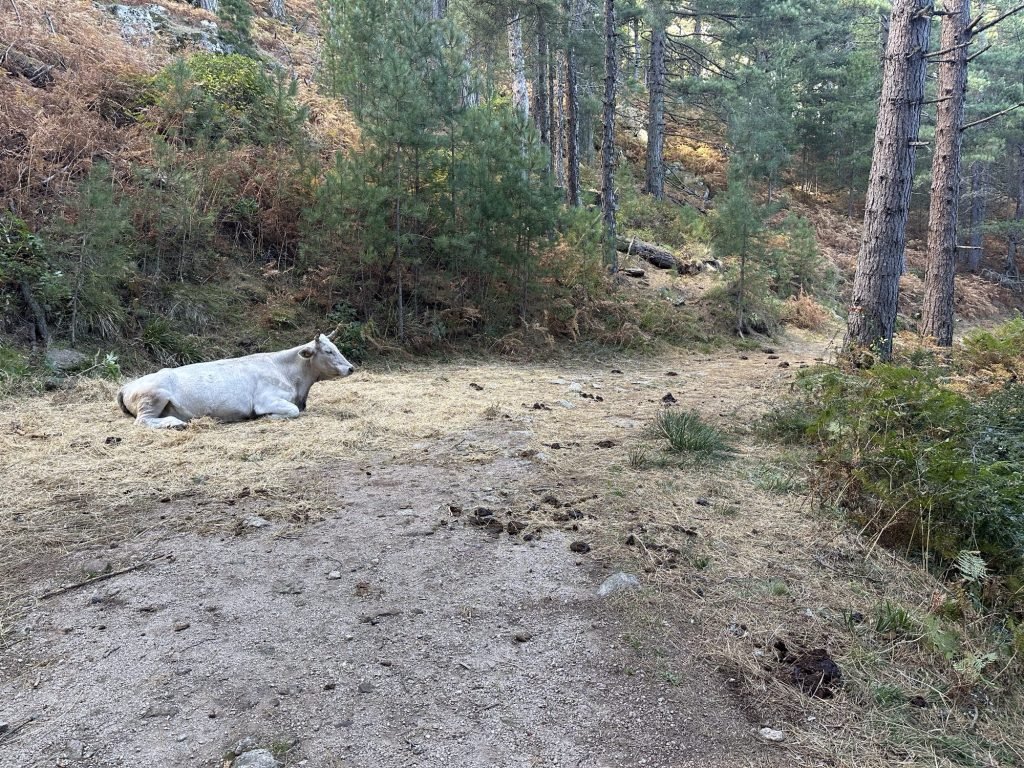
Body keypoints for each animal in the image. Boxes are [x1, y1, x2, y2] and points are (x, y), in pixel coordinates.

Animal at [117, 331, 355, 429]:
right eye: (328, 351)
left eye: (335, 347)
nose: (351, 368)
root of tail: (127, 385)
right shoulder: (266, 400)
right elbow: (292, 411)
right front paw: (267, 417)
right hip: (154, 397)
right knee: (143, 420)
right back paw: (175, 423)